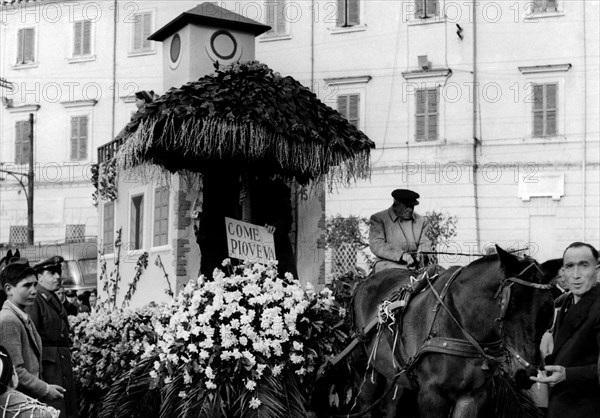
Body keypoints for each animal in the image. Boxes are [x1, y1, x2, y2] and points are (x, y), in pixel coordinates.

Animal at [352, 247, 564, 418]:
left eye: (548, 310)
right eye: (509, 305)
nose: (525, 373)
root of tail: (365, 281)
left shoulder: (472, 396)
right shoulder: (431, 395)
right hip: (368, 367)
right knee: (365, 402)